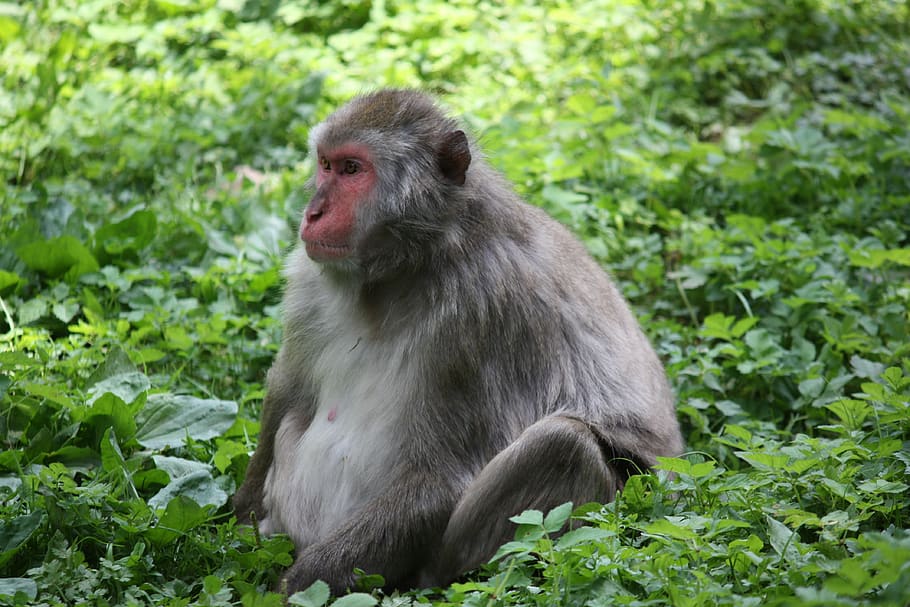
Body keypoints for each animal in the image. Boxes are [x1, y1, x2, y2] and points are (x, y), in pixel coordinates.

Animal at [233, 88, 684, 596]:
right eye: (325, 165)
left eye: (352, 169)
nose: (312, 213)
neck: (403, 271)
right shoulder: (308, 281)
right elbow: (289, 390)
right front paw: (234, 529)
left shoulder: (481, 310)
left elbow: (441, 479)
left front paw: (293, 588)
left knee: (562, 444)